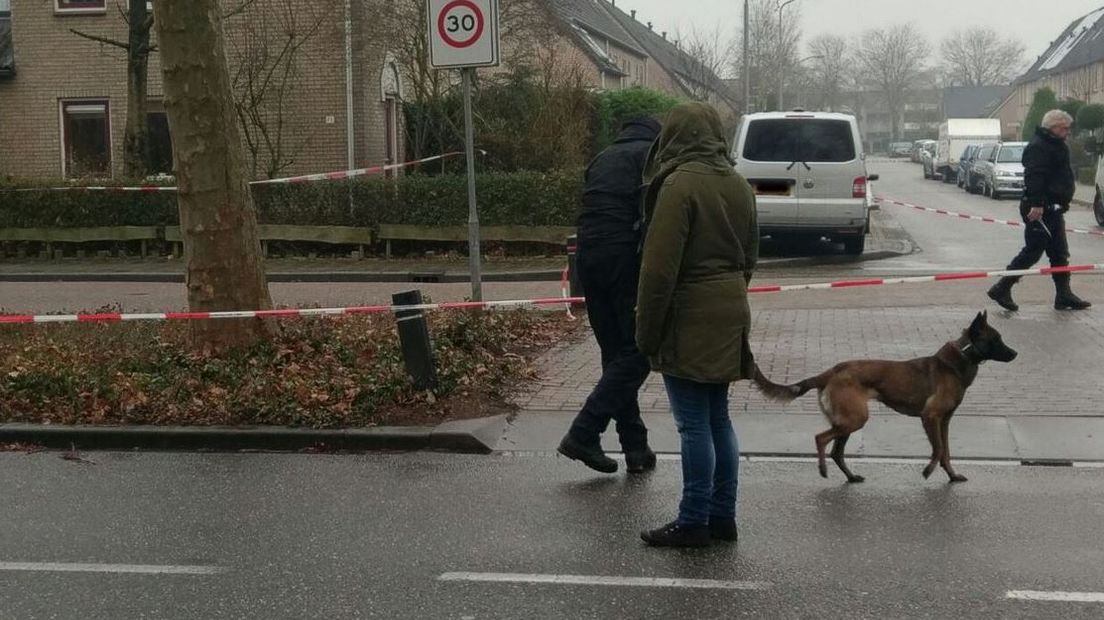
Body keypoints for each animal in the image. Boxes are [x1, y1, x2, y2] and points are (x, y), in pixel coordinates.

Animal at [755, 311, 1011, 480]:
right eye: (997, 339)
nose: (1015, 353)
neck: (959, 359)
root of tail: (831, 371)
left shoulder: (944, 421)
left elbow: (946, 451)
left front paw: (952, 476)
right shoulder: (930, 417)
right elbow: (938, 449)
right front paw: (928, 471)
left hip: (848, 422)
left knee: (837, 452)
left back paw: (851, 477)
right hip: (855, 419)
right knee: (821, 439)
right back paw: (823, 469)